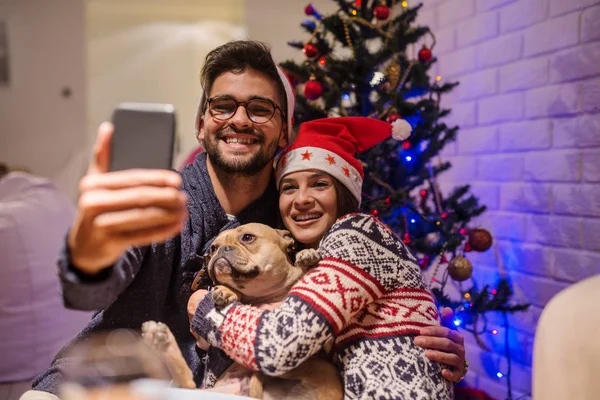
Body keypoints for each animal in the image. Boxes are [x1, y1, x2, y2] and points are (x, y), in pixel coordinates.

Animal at [140, 222, 342, 400]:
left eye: (247, 237)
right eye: (213, 248)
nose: (221, 249)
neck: (266, 295)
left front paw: (307, 255)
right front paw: (226, 291)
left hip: (321, 368)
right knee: (187, 385)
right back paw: (161, 339)